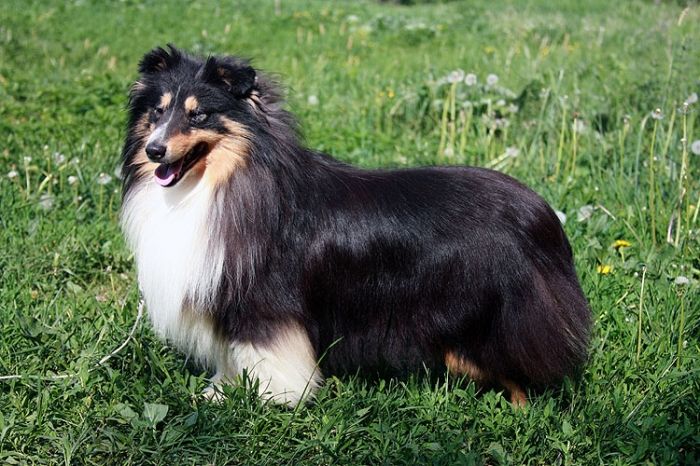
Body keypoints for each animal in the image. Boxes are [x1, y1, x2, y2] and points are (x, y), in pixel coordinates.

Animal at [120, 45, 591, 407]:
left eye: (198, 116)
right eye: (157, 112)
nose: (154, 150)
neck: (224, 181)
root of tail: (542, 214)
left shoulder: (265, 301)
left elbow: (266, 354)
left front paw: (273, 399)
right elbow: (232, 356)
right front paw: (220, 392)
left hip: (493, 314)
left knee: (516, 363)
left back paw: (521, 411)